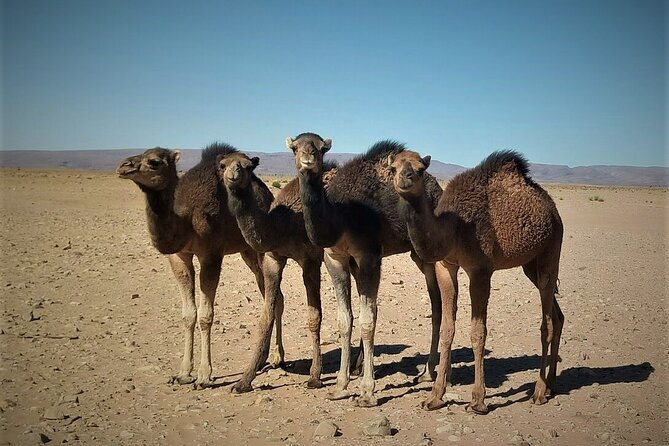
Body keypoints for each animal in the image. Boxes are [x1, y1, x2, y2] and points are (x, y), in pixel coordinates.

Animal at [116, 144, 275, 389]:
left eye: (154, 162)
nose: (124, 166)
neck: (187, 220)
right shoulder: (179, 256)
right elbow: (188, 315)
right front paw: (183, 373)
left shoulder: (211, 253)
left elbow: (205, 316)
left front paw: (204, 376)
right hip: (246, 251)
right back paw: (263, 360)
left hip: (259, 247)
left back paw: (272, 359)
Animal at [288, 133, 444, 407]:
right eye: (295, 147)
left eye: (320, 148)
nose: (307, 158)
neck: (341, 217)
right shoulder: (335, 258)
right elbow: (345, 320)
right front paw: (340, 386)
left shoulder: (369, 255)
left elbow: (368, 321)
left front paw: (367, 392)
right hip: (415, 255)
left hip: (429, 252)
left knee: (439, 304)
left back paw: (428, 373)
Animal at [388, 149, 564, 414]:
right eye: (393, 168)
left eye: (420, 169)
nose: (405, 178)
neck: (454, 229)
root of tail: (553, 210)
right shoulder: (445, 266)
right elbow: (448, 328)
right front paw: (435, 397)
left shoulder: (480, 270)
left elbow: (478, 332)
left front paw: (478, 400)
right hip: (530, 265)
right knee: (558, 315)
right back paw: (552, 383)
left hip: (551, 252)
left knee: (548, 321)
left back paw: (540, 391)